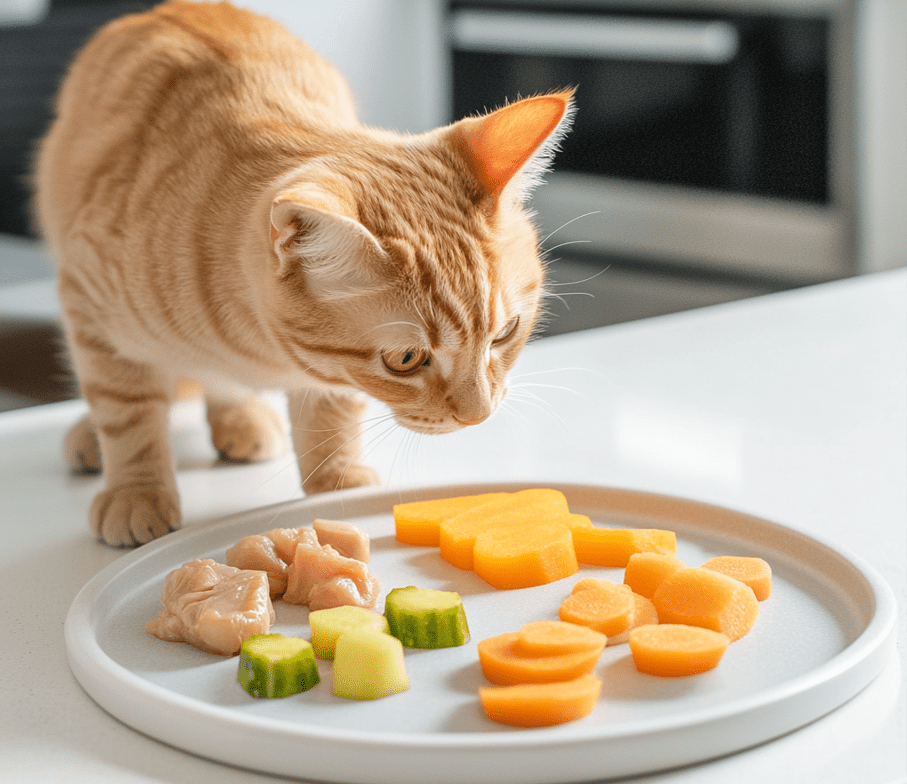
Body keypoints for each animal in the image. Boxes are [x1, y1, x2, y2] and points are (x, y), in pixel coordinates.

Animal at [35, 1, 576, 544]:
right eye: (404, 359)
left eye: (506, 332)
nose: (478, 416)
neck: (258, 348)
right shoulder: (86, 303)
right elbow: (126, 410)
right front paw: (137, 490)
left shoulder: (327, 377)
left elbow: (332, 408)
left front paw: (337, 484)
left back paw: (240, 415)